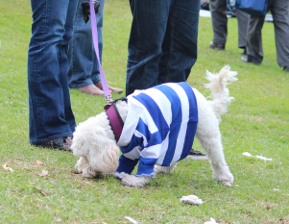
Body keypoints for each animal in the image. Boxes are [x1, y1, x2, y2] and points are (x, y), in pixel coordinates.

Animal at [71, 65, 235, 187]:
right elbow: (128, 159)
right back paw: (164, 168)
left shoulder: (152, 139)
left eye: (86, 155)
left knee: (216, 157)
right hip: (177, 134)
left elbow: (146, 162)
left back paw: (224, 177)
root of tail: (206, 102)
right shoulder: (131, 145)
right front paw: (119, 172)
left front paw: (137, 180)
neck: (119, 120)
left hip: (205, 132)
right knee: (172, 153)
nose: (80, 170)